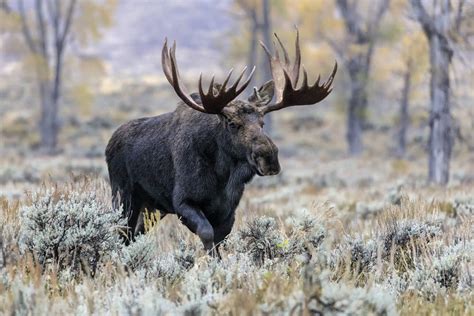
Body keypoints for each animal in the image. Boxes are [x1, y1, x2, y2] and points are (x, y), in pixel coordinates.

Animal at [106, 29, 336, 256]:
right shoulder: (182, 201)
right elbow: (207, 235)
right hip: (124, 197)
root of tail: (109, 143)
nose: (269, 157)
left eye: (262, 122)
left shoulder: (228, 211)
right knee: (122, 234)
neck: (222, 176)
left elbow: (220, 241)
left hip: (152, 208)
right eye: (232, 123)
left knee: (134, 235)